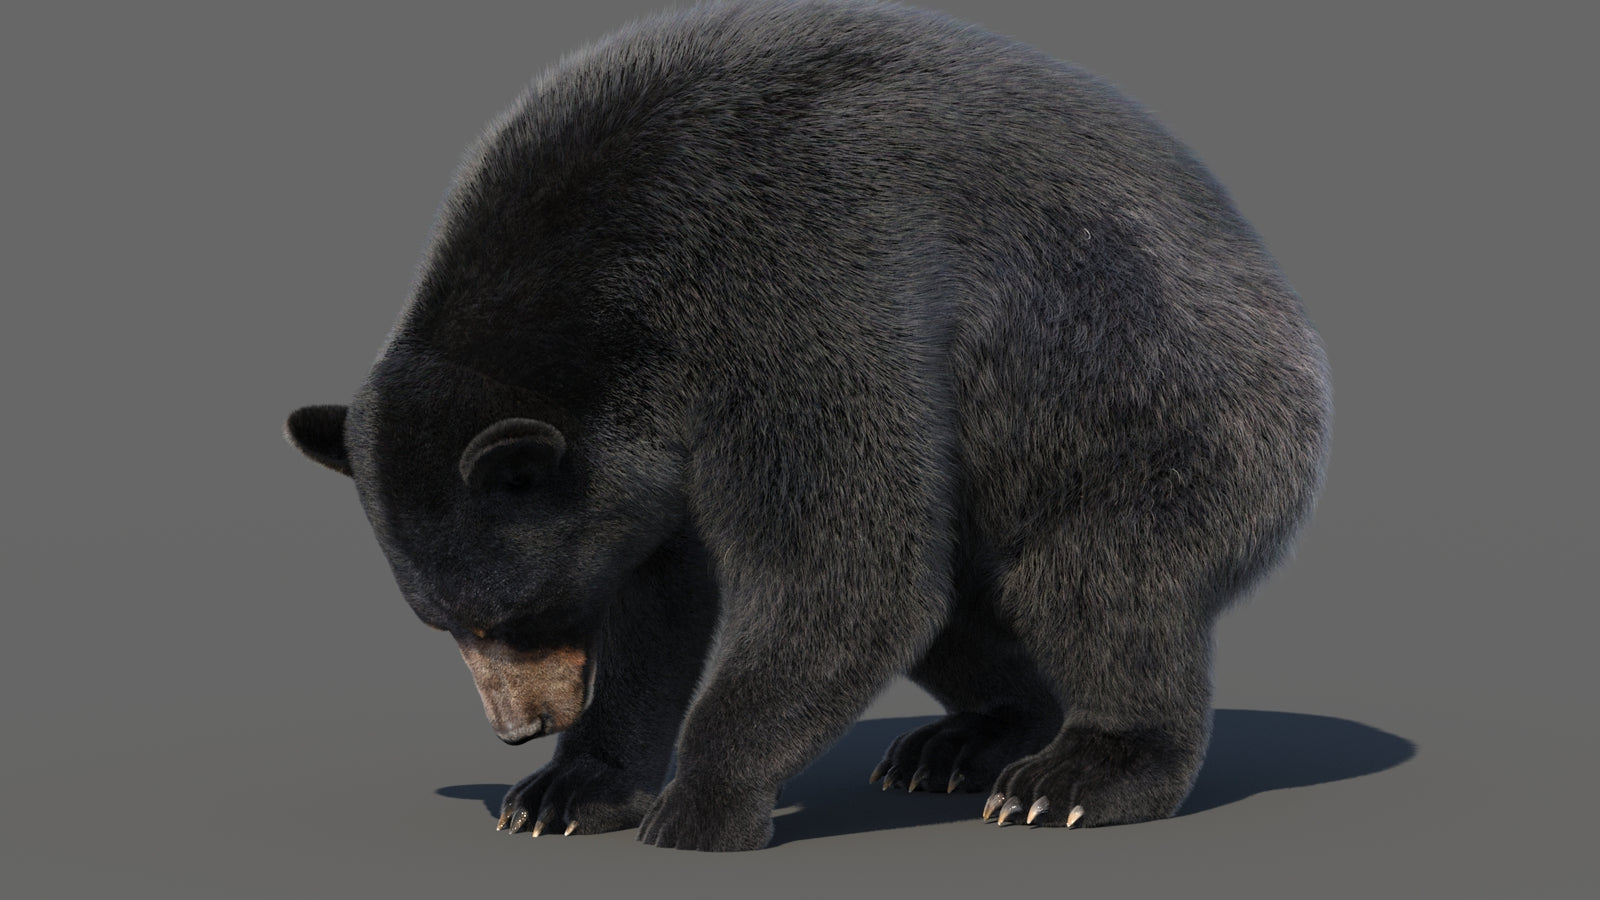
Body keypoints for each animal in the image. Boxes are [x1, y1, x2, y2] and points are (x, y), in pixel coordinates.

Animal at [286, 0, 1331, 852]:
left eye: (509, 616)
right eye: (442, 621)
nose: (519, 727)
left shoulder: (794, 287)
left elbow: (840, 561)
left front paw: (699, 806)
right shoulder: (645, 444)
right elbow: (660, 594)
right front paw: (564, 792)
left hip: (1155, 404)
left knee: (1098, 580)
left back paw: (1075, 776)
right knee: (958, 605)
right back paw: (965, 740)